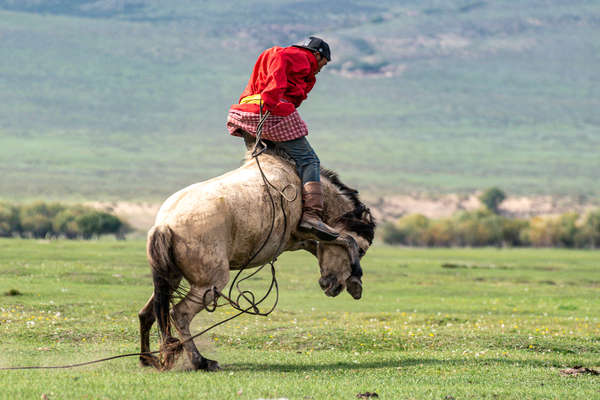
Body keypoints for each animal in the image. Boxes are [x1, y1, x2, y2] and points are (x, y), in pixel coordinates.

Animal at [138, 145, 378, 372]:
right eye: (364, 250)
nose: (332, 287)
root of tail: (164, 225)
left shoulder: (300, 239)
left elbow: (325, 244)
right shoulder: (311, 233)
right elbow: (348, 239)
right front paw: (356, 282)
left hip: (171, 278)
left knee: (148, 313)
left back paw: (148, 359)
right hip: (209, 285)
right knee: (179, 314)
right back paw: (202, 362)